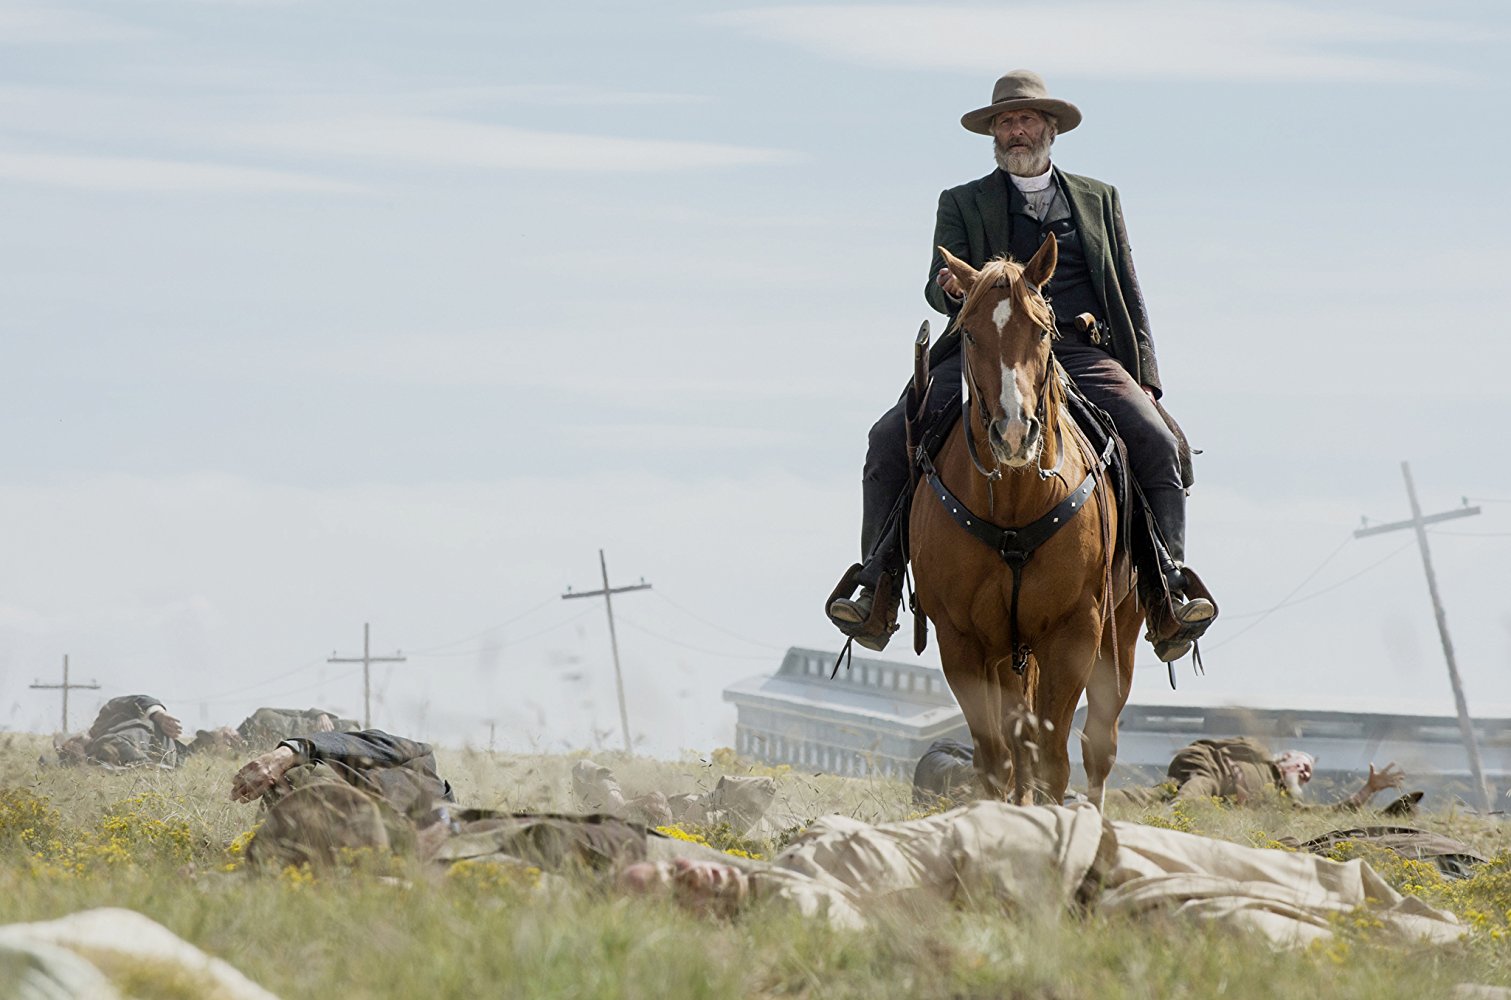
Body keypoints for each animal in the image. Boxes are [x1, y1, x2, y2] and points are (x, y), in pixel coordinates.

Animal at [906, 238, 1136, 809]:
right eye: (969, 332)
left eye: (1043, 330)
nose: (1013, 434)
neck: (1014, 501)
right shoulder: (962, 641)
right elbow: (997, 760)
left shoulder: (1075, 631)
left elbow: (1054, 761)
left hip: (1121, 633)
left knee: (1098, 745)